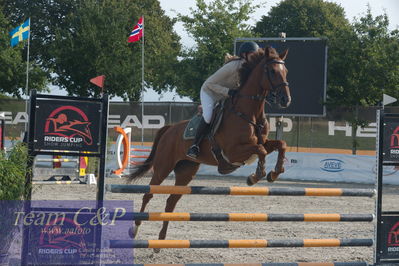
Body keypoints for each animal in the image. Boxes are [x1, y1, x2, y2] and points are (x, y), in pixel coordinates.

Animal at [126, 46, 292, 243]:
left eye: (286, 71)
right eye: (273, 71)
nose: (286, 100)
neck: (249, 114)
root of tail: (169, 129)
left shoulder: (263, 143)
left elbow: (281, 144)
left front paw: (275, 173)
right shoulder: (233, 152)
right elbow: (261, 151)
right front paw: (255, 176)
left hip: (186, 172)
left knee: (171, 201)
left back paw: (161, 240)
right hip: (163, 167)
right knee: (148, 193)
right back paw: (135, 229)